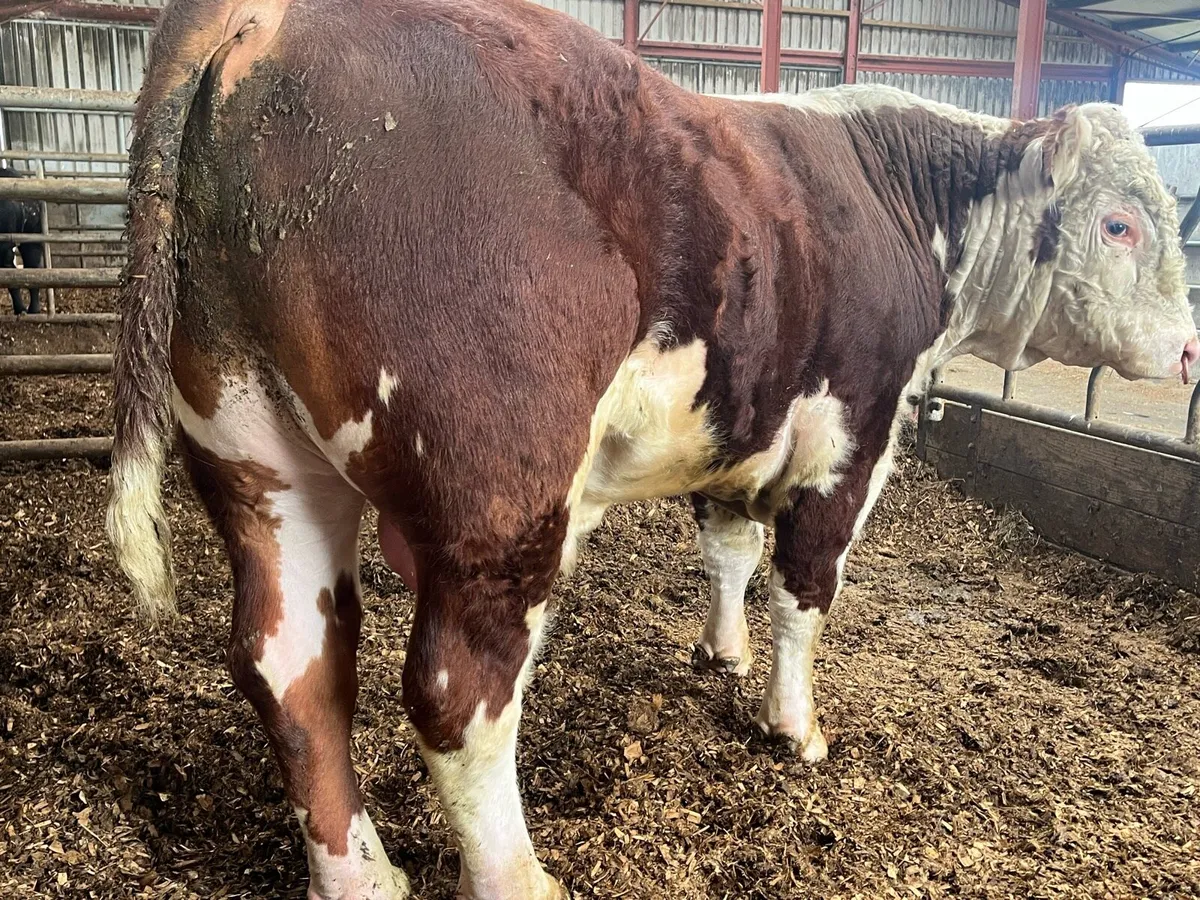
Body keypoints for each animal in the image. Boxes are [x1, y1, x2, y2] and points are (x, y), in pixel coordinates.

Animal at [105, 0, 1199, 897]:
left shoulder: (741, 419)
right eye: (1120, 224)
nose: (1189, 349)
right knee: (459, 692)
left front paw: (721, 649)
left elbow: (728, 549)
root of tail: (269, 17)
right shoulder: (850, 436)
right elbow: (804, 590)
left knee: (292, 668)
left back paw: (362, 876)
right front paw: (794, 725)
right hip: (498, 500)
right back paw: (518, 878)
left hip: (255, 455)